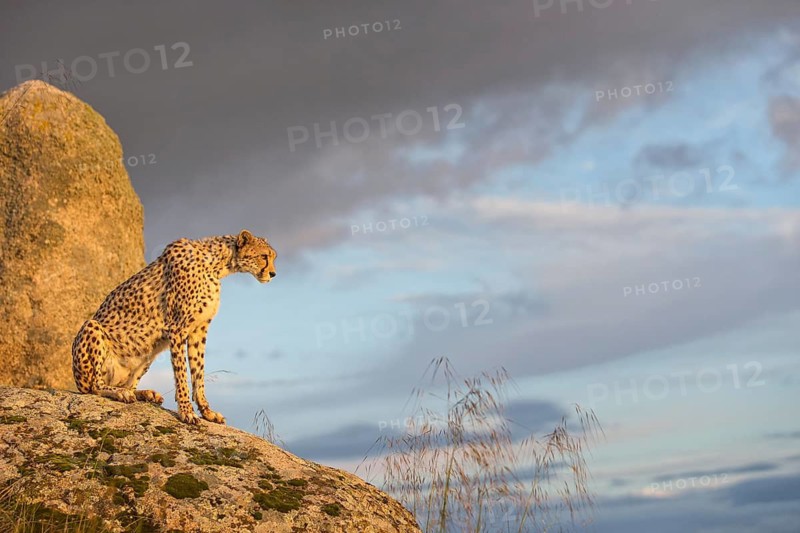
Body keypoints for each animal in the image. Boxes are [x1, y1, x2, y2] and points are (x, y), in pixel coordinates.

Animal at [71, 229, 277, 424]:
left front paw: (207, 412)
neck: (217, 264)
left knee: (126, 384)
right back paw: (118, 392)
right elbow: (182, 373)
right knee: (94, 386)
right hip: (92, 328)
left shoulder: (199, 329)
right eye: (264, 256)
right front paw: (186, 411)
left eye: (273, 257)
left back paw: (144, 393)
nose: (273, 274)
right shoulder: (178, 328)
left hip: (148, 353)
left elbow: (199, 371)